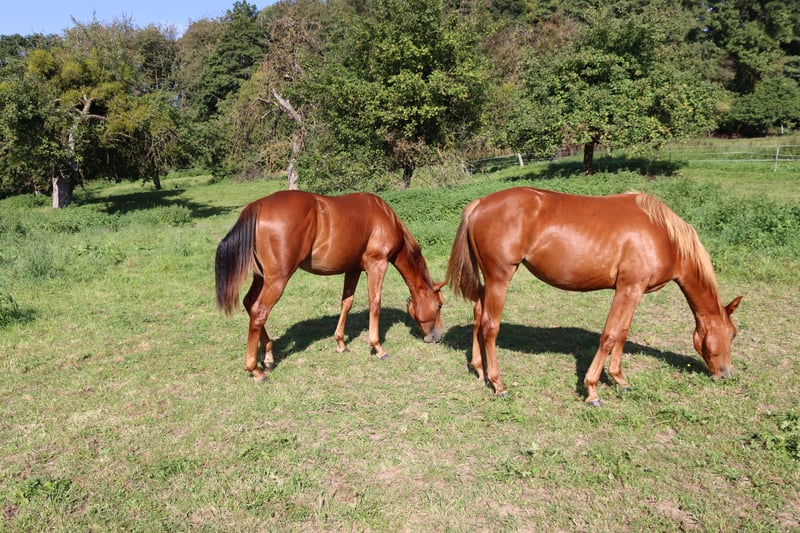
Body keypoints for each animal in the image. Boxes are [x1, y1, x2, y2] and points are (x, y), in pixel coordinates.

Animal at [215, 190, 445, 381]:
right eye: (440, 305)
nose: (437, 337)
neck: (384, 217)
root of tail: (258, 205)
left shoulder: (353, 269)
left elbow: (347, 303)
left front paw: (341, 343)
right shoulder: (377, 264)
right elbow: (375, 303)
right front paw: (378, 347)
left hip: (261, 277)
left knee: (249, 303)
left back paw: (269, 355)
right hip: (277, 279)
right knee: (259, 312)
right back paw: (255, 369)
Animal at [445, 187, 742, 405]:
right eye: (732, 334)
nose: (726, 374)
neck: (663, 236)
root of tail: (480, 204)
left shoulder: (635, 292)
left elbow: (622, 333)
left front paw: (620, 380)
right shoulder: (627, 289)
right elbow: (609, 336)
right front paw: (592, 390)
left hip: (489, 281)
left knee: (478, 315)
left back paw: (479, 369)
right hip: (500, 278)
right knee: (490, 327)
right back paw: (498, 384)